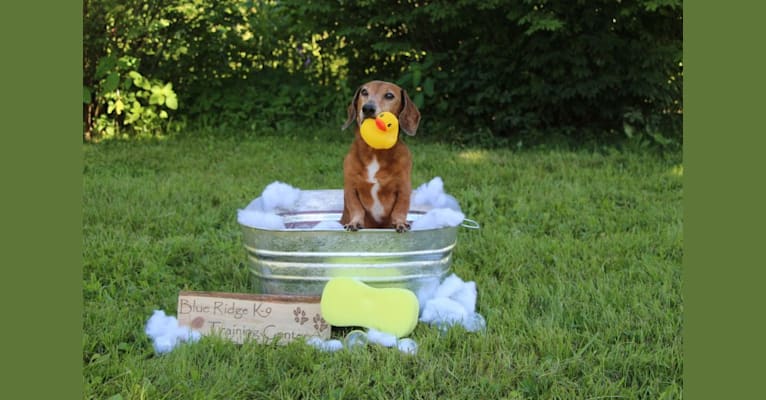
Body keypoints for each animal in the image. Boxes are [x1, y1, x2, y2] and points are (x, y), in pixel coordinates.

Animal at [342, 80, 424, 233]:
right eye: (364, 92)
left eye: (389, 95)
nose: (368, 108)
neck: (375, 151)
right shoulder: (350, 186)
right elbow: (356, 207)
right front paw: (354, 222)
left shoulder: (403, 187)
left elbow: (400, 208)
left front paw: (400, 223)